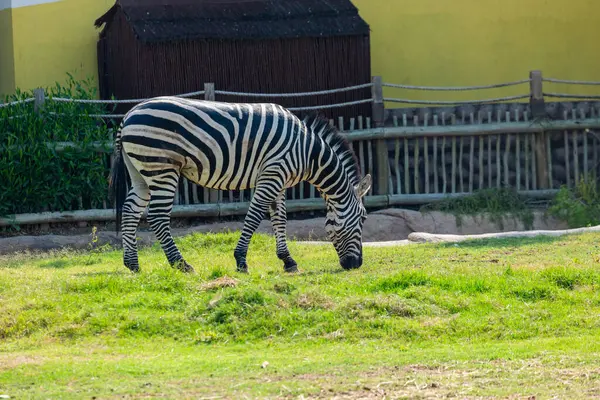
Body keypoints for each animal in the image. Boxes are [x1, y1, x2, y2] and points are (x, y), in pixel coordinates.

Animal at [108, 95, 370, 274]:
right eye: (363, 218)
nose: (356, 265)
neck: (307, 153)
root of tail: (128, 115)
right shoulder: (272, 174)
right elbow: (254, 217)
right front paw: (241, 260)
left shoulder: (279, 180)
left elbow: (280, 219)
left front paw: (287, 260)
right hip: (161, 167)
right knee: (157, 216)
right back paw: (181, 264)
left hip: (140, 172)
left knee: (130, 211)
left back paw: (133, 264)